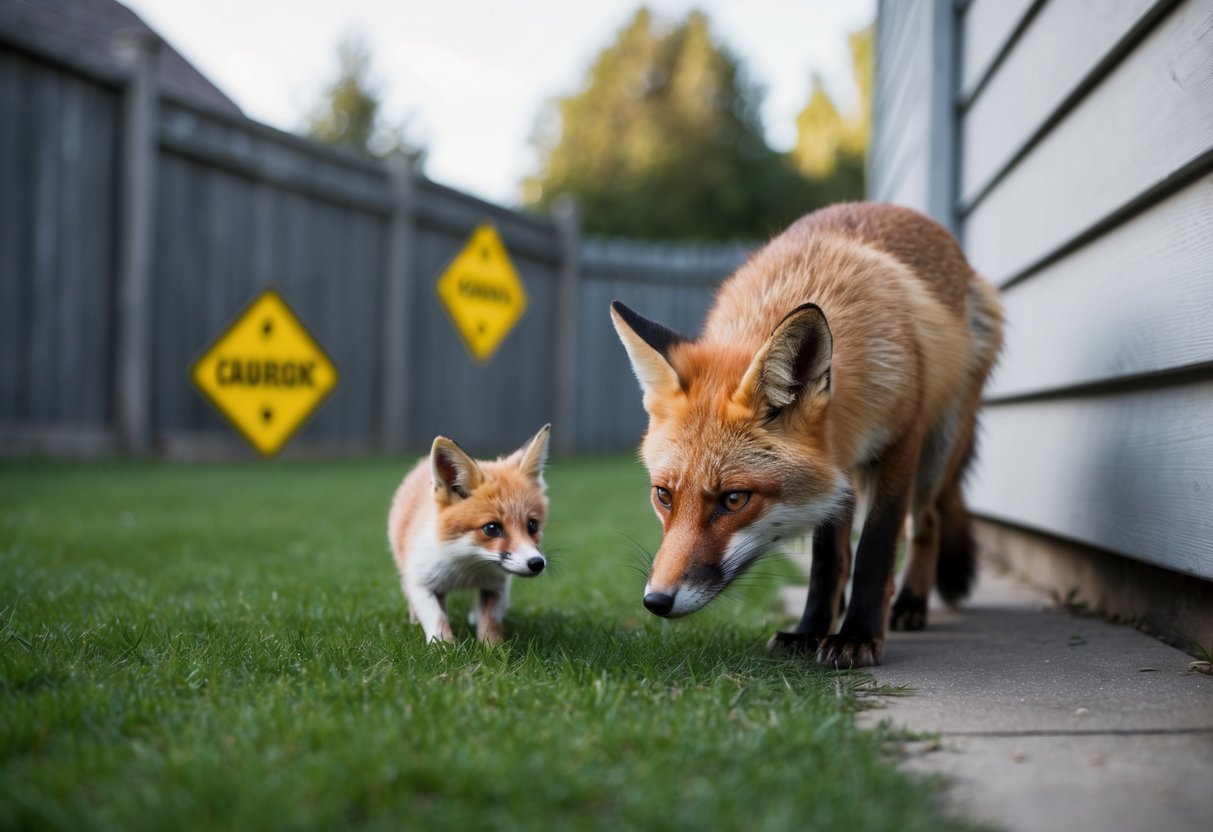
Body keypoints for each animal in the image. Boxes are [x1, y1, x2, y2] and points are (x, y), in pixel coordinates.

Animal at [388, 425, 551, 645]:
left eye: (532, 526)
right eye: (492, 528)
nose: (536, 563)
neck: (467, 565)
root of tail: (421, 464)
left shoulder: (496, 586)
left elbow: (491, 622)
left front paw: (493, 648)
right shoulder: (421, 582)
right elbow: (437, 619)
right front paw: (444, 647)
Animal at [611, 203, 1002, 667]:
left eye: (734, 499)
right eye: (664, 495)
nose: (656, 601)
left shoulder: (899, 442)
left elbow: (874, 551)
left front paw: (857, 636)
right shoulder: (834, 472)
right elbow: (829, 559)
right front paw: (810, 632)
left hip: (937, 452)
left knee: (927, 523)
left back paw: (910, 604)